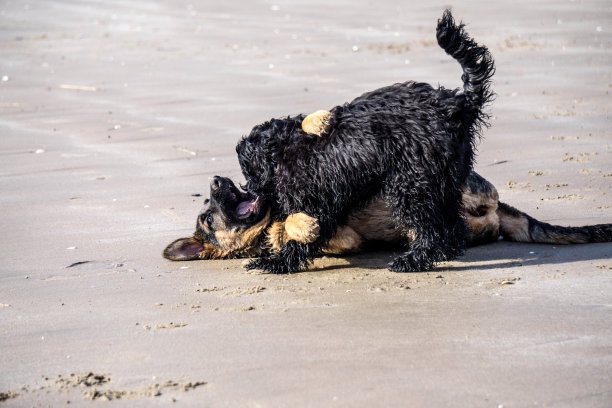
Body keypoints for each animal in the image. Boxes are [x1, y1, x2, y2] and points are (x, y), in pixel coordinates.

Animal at [234, 10, 498, 274]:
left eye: (247, 171)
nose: (248, 189)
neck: (281, 149)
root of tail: (458, 105)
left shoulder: (314, 204)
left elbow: (302, 236)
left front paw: (276, 262)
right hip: (445, 180)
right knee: (452, 222)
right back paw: (446, 251)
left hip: (413, 183)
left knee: (430, 229)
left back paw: (413, 260)